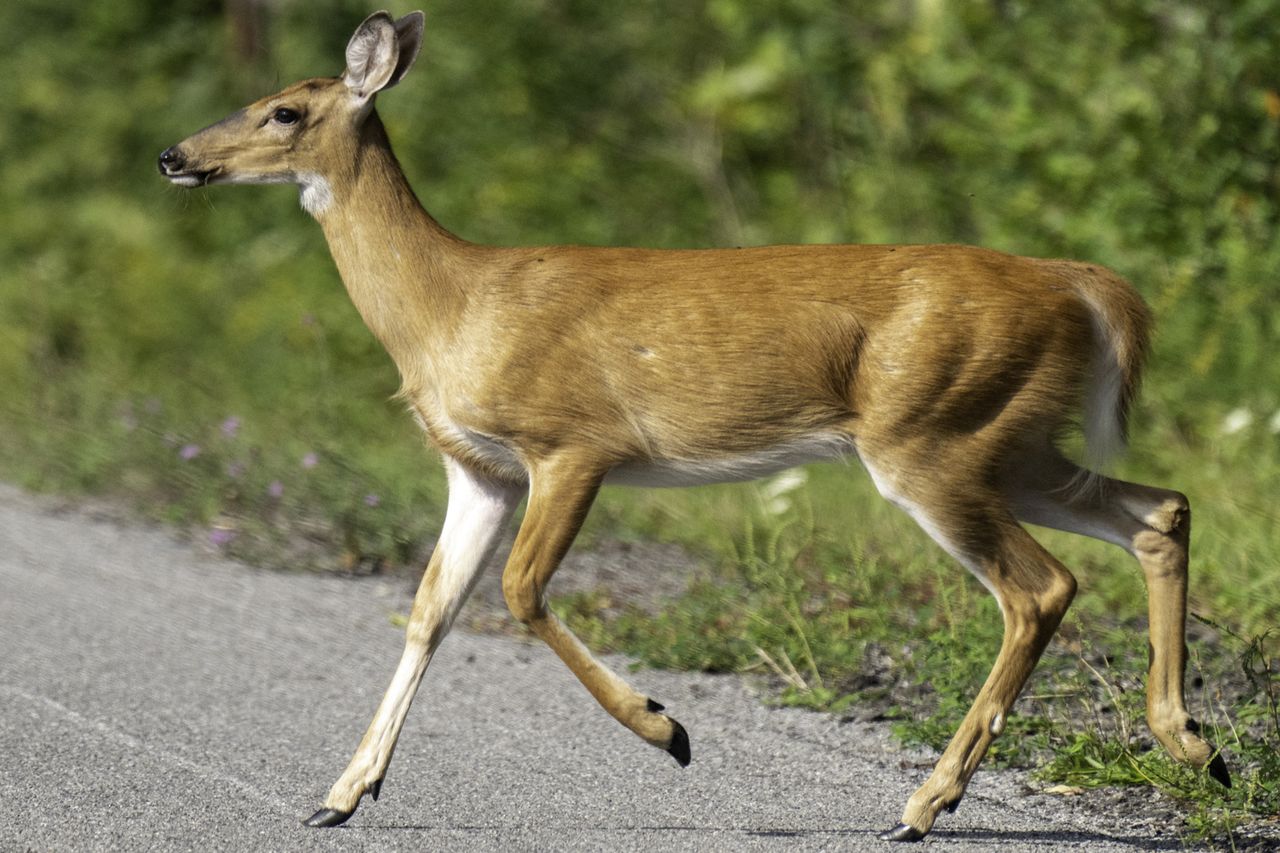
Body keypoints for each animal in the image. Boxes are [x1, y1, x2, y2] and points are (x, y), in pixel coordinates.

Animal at [158, 10, 1230, 841]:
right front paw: (341, 794)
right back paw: (1194, 743)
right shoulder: (480, 467)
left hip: (932, 436)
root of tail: (1081, 284)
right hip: (1011, 440)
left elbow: (518, 590)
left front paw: (666, 729)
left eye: (284, 109)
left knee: (1040, 585)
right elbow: (431, 607)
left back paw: (927, 805)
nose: (174, 155)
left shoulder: (573, 443)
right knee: (1157, 510)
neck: (450, 305)